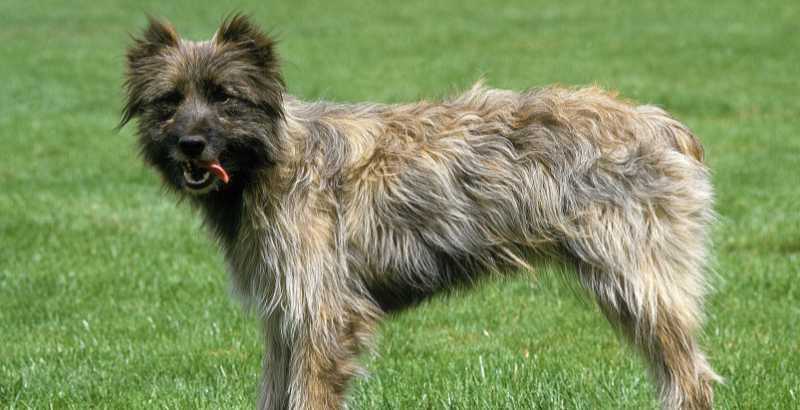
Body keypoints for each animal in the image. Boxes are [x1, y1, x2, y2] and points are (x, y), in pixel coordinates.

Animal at [122, 14, 720, 408]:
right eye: (170, 100)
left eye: (224, 96)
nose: (191, 145)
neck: (275, 159)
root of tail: (665, 126)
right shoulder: (285, 315)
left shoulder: (324, 311)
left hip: (638, 282)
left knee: (689, 377)